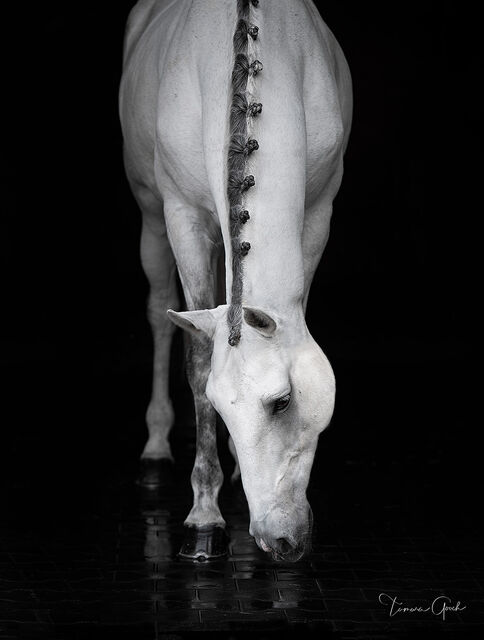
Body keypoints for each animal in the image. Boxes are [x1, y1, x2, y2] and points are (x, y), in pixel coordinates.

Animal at [118, 0, 352, 560]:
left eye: (282, 401)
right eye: (222, 407)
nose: (277, 539)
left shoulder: (319, 212)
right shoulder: (181, 215)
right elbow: (197, 359)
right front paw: (204, 518)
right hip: (151, 217)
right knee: (159, 312)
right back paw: (156, 447)